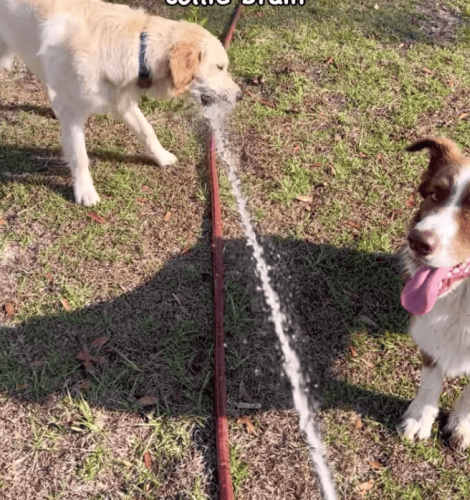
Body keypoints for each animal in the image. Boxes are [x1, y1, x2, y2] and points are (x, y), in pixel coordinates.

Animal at [0, 0, 242, 205]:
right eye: (220, 67)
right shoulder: (73, 115)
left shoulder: (121, 101)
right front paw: (85, 191)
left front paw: (162, 157)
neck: (136, 51)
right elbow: (79, 155)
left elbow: (147, 131)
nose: (240, 95)